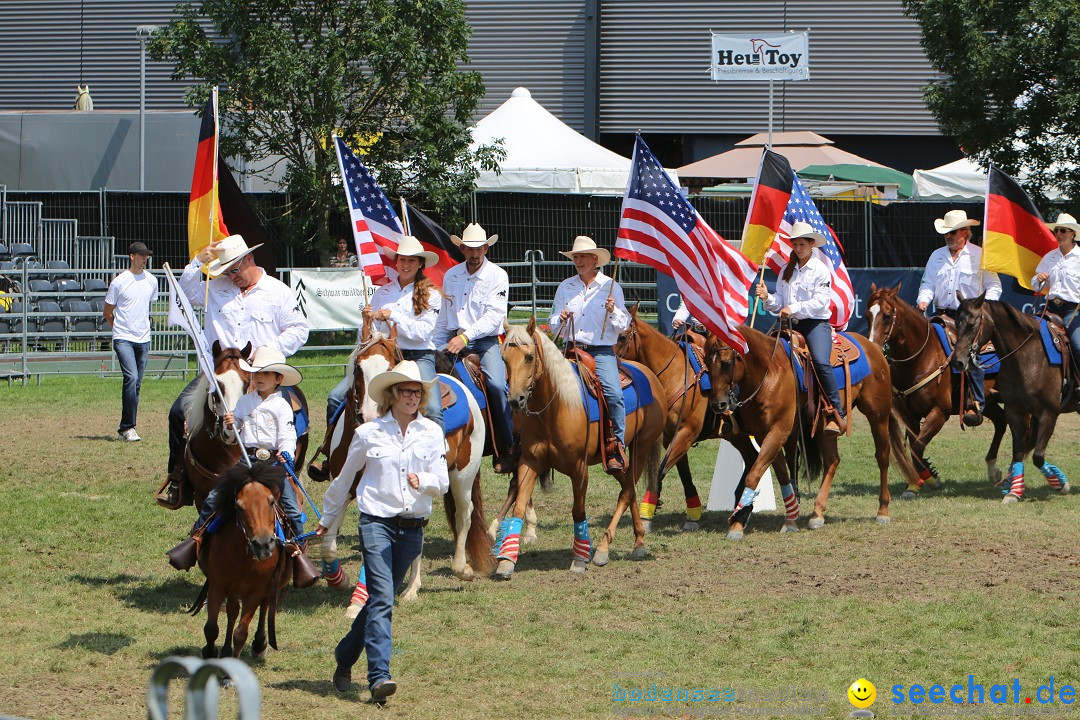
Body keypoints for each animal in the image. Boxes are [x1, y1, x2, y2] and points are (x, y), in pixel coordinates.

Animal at [189, 462, 291, 660]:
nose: (263, 545)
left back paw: (259, 644)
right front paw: (210, 653)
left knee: (264, 606)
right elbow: (211, 628)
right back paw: (226, 650)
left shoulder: (256, 591)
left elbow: (241, 633)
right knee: (232, 611)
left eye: (271, 502)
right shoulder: (218, 585)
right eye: (239, 505)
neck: (243, 555)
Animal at [315, 317, 494, 600]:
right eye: (358, 368)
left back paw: (455, 571)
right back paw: (413, 585)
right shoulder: (344, 483)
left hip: (463, 474)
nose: (369, 415)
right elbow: (331, 541)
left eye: (390, 368)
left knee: (464, 515)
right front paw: (339, 579)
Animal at [496, 317, 665, 578]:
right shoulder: (529, 462)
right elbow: (519, 506)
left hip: (642, 446)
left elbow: (578, 511)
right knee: (629, 489)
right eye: (504, 358)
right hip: (616, 461)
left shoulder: (579, 468)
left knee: (627, 493)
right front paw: (506, 561)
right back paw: (639, 542)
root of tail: (650, 376)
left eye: (529, 357)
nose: (516, 400)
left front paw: (580, 558)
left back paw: (603, 550)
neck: (556, 406)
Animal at [864, 280, 1006, 496]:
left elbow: (917, 448)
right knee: (1001, 422)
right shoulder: (910, 416)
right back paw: (994, 472)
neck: (921, 357)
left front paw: (930, 479)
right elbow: (914, 447)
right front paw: (915, 484)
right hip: (990, 402)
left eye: (887, 316)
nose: (873, 349)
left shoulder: (940, 412)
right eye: (867, 315)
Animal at [954, 295, 1071, 505]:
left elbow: (1038, 457)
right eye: (956, 321)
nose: (958, 361)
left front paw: (1060, 483)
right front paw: (1014, 491)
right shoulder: (1015, 411)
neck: (1027, 357)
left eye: (972, 324)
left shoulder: (1049, 413)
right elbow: (1019, 452)